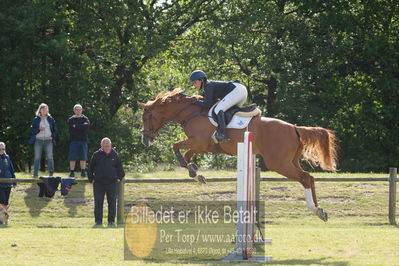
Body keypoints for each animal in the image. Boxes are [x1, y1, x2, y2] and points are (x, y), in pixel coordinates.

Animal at [141, 88, 338, 221]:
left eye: (145, 117)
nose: (144, 139)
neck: (190, 112)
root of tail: (294, 128)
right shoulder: (202, 146)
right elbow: (187, 157)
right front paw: (196, 174)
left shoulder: (199, 141)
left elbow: (175, 147)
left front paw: (193, 172)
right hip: (291, 161)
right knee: (310, 177)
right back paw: (320, 211)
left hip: (278, 163)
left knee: (304, 178)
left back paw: (314, 209)